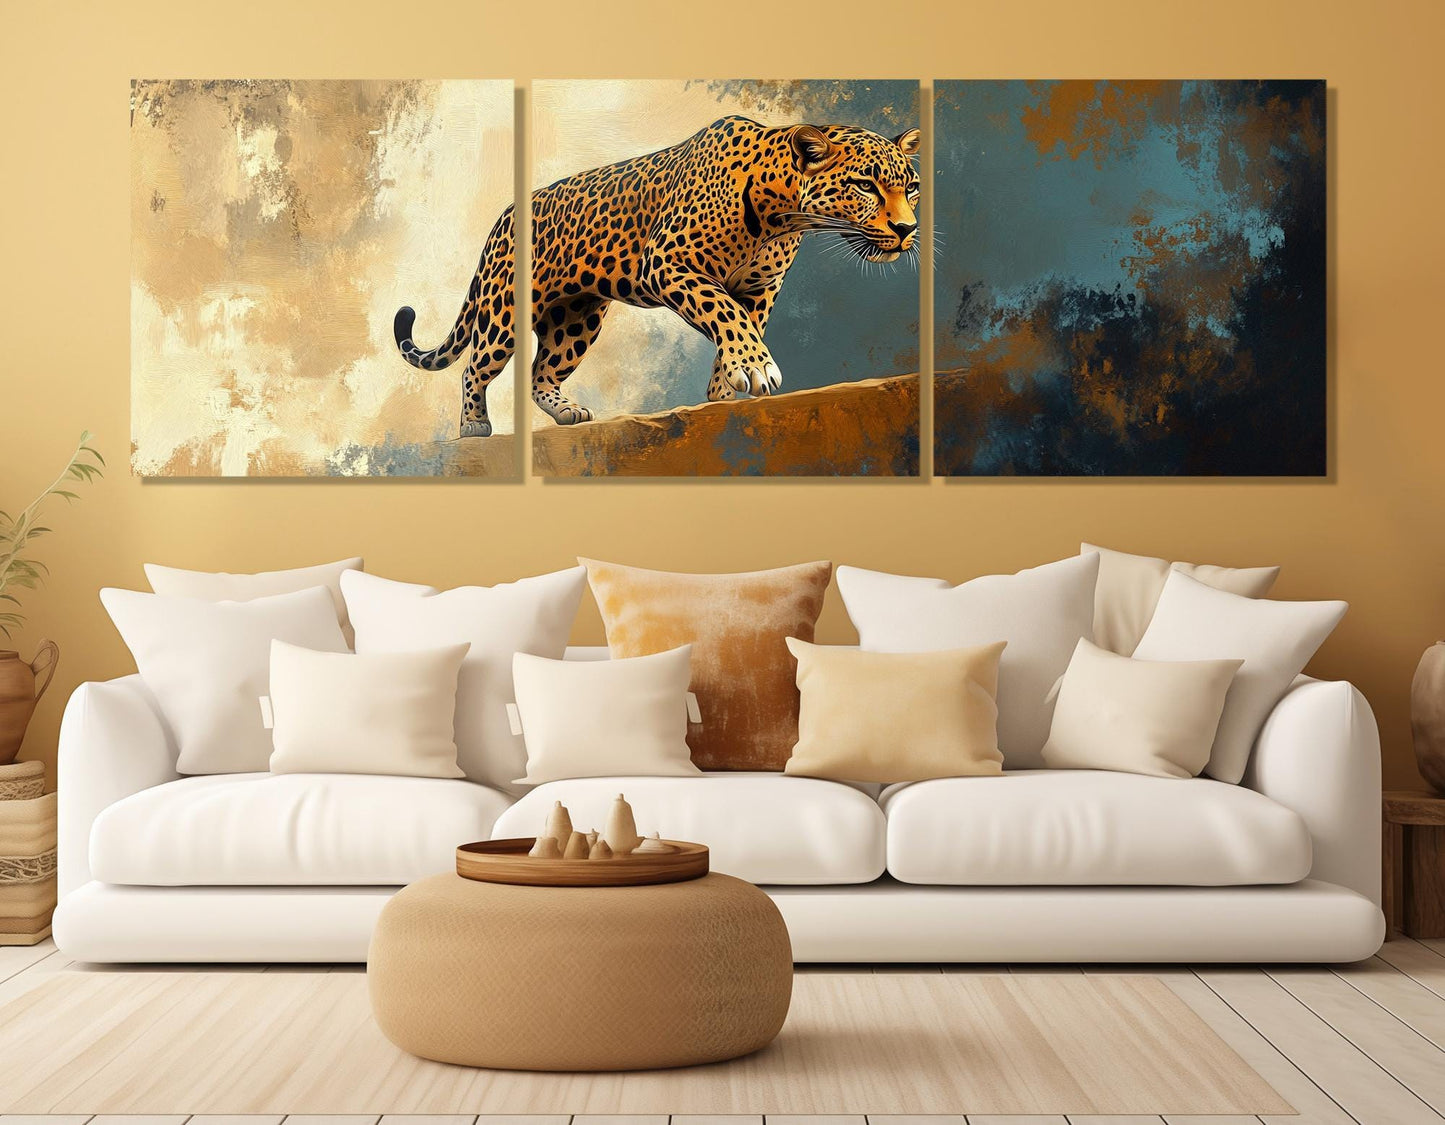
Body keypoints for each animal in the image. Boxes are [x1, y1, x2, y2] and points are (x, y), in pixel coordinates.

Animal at [394, 116, 922, 438]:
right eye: (865, 185)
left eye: (912, 188)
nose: (907, 229)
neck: (781, 215)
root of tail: (502, 218)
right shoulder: (667, 262)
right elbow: (725, 314)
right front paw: (753, 369)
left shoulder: (760, 288)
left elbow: (742, 326)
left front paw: (724, 392)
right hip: (503, 313)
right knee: (475, 368)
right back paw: (473, 427)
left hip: (574, 322)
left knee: (541, 371)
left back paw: (567, 412)